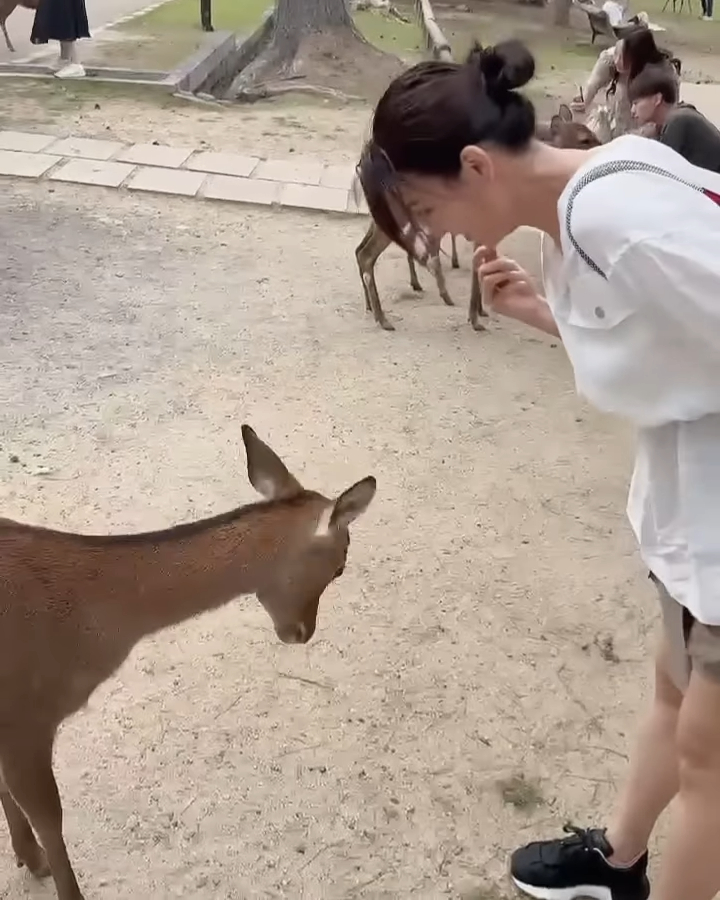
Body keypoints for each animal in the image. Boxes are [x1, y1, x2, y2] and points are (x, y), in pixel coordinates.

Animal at [356, 103, 600, 334]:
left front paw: (481, 311)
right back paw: (383, 318)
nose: (600, 147)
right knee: (368, 254)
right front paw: (475, 318)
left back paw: (373, 305)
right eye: (584, 139)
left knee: (362, 250)